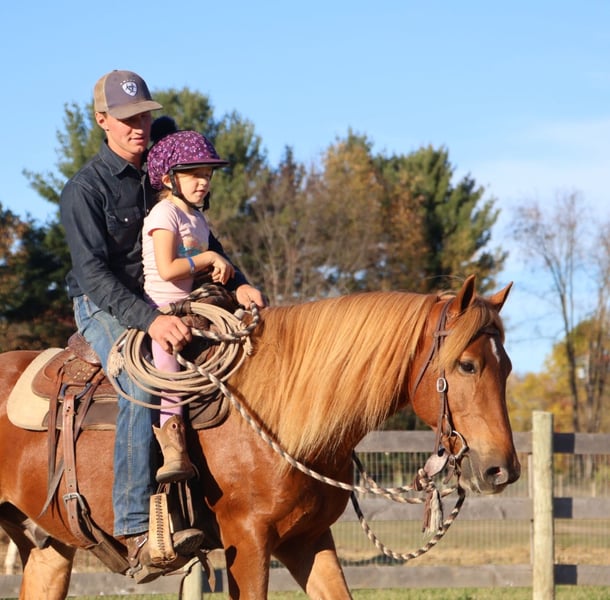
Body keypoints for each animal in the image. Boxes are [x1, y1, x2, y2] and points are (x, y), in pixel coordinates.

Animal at [0, 275, 520, 599]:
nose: (503, 469)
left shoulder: (307, 540)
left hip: (47, 548)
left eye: (508, 366)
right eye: (466, 365)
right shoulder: (246, 542)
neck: (280, 414)